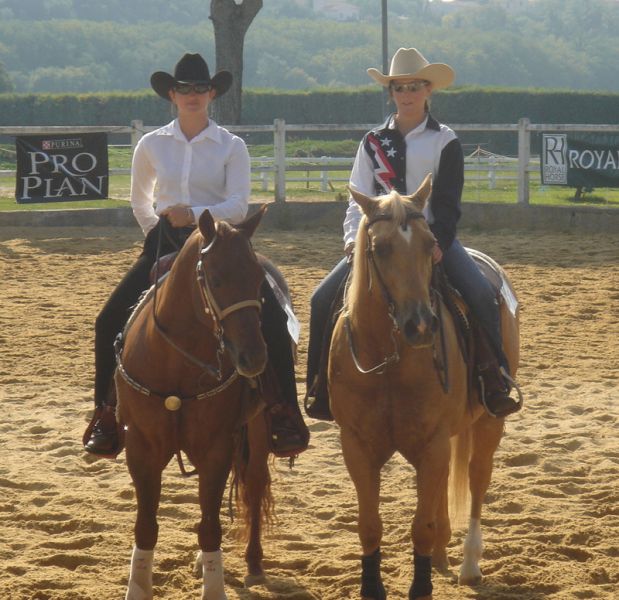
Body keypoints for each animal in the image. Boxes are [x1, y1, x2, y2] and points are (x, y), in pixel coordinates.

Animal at [118, 205, 276, 596]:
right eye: (215, 280)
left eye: (257, 279)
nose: (253, 358)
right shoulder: (140, 447)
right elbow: (146, 524)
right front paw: (138, 588)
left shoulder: (215, 447)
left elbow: (210, 526)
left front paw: (213, 587)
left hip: (257, 431)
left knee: (253, 484)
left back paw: (253, 563)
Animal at [332, 176, 520, 596]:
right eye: (380, 248)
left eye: (428, 243)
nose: (420, 325)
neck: (388, 362)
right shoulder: (356, 446)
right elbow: (369, 525)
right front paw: (372, 588)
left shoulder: (432, 444)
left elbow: (421, 525)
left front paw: (420, 588)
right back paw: (441, 555)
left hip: (489, 422)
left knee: (477, 480)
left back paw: (469, 564)